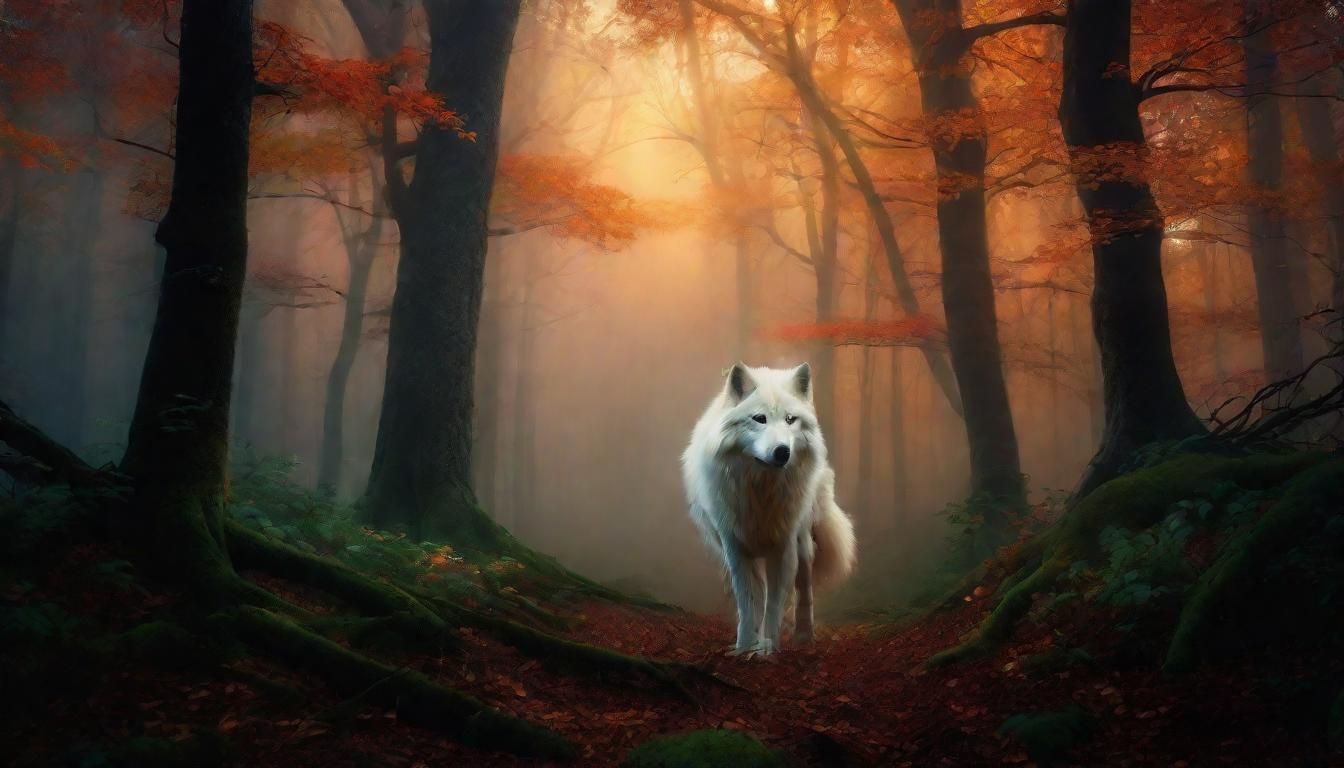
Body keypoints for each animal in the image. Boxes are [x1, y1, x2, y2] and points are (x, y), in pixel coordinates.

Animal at [681, 362, 857, 656]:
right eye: (759, 419)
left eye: (790, 420)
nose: (782, 452)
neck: (761, 490)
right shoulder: (735, 547)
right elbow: (747, 601)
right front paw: (744, 646)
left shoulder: (783, 547)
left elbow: (775, 603)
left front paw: (769, 649)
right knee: (758, 591)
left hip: (803, 541)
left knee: (803, 588)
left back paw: (803, 635)